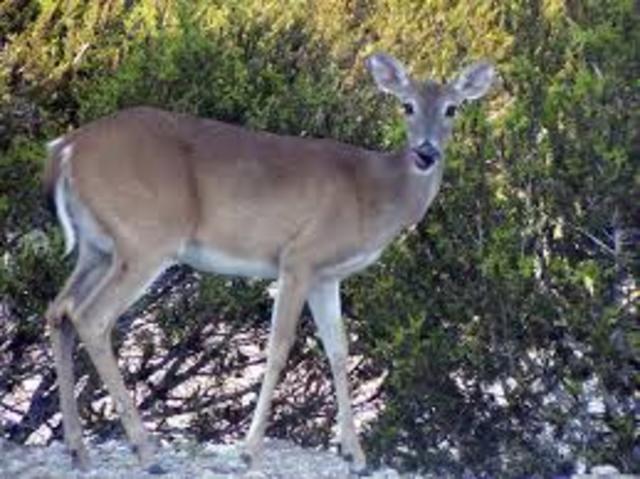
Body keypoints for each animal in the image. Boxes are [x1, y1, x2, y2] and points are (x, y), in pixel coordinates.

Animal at [43, 53, 495, 474]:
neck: (373, 194)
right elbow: (279, 347)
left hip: (97, 247)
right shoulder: (299, 257)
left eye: (452, 108)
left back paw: (78, 450)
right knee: (91, 316)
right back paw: (145, 451)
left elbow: (338, 350)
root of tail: (65, 149)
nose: (426, 153)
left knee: (59, 309)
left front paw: (355, 454)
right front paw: (250, 451)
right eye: (406, 105)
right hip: (147, 238)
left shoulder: (327, 277)